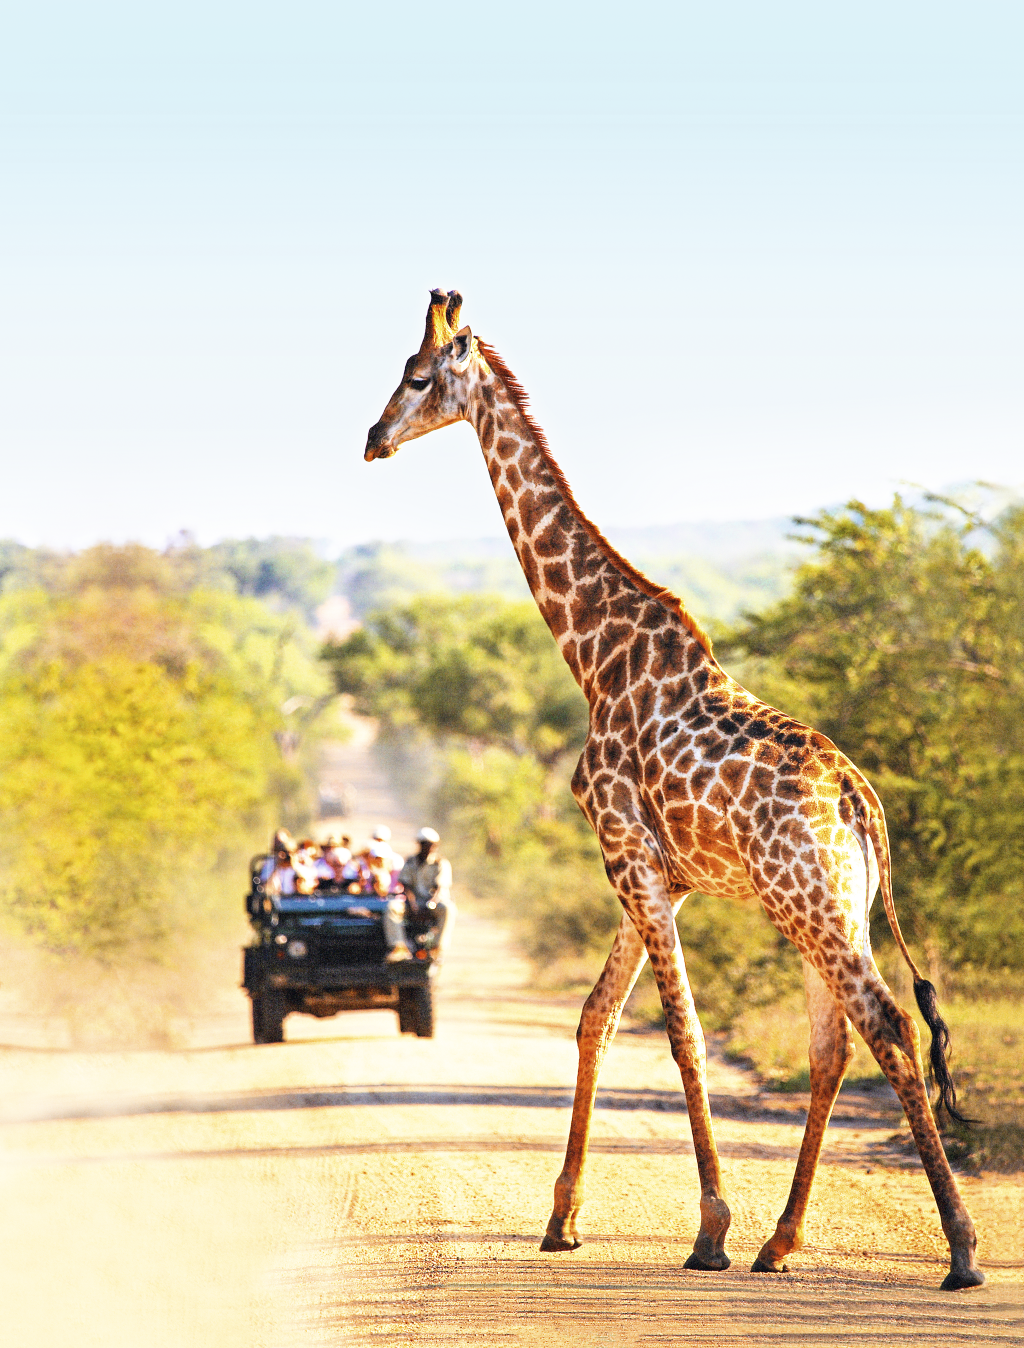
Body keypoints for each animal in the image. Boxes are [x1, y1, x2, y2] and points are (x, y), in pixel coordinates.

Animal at [361, 289, 986, 1288]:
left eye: (418, 377)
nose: (373, 438)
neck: (591, 654)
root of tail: (861, 801)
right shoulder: (657, 876)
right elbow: (594, 1020)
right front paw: (562, 1221)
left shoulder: (630, 860)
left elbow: (680, 1032)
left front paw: (710, 1229)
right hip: (828, 907)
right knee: (832, 1043)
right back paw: (781, 1242)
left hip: (808, 903)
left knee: (886, 1024)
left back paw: (958, 1250)